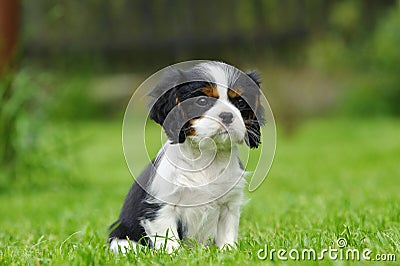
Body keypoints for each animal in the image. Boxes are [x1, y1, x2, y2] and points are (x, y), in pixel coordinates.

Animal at [109, 61, 266, 254]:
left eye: (240, 102)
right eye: (202, 101)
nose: (227, 115)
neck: (206, 155)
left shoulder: (229, 206)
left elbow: (227, 235)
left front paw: (228, 252)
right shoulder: (161, 207)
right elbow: (168, 239)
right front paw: (174, 255)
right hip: (121, 238)